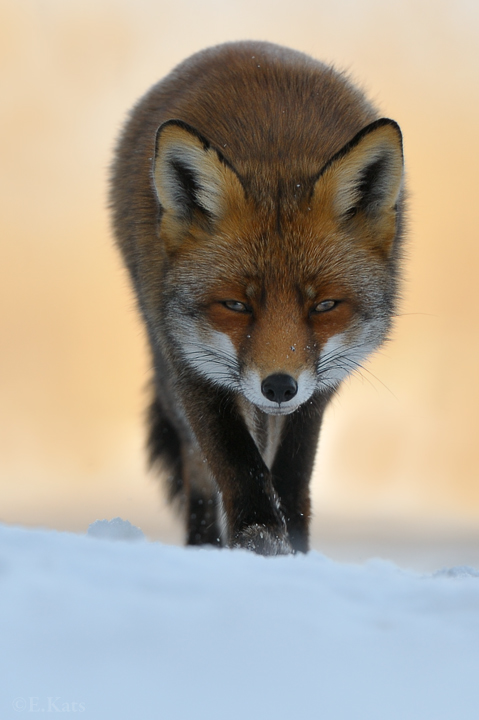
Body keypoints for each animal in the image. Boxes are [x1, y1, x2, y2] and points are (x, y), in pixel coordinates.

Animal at [109, 41, 405, 555]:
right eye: (236, 305)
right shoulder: (190, 361)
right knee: (198, 467)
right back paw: (204, 545)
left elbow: (290, 471)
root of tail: (243, 47)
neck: (277, 155)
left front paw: (294, 552)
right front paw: (258, 543)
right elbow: (237, 466)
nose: (279, 386)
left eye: (324, 306)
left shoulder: (320, 383)